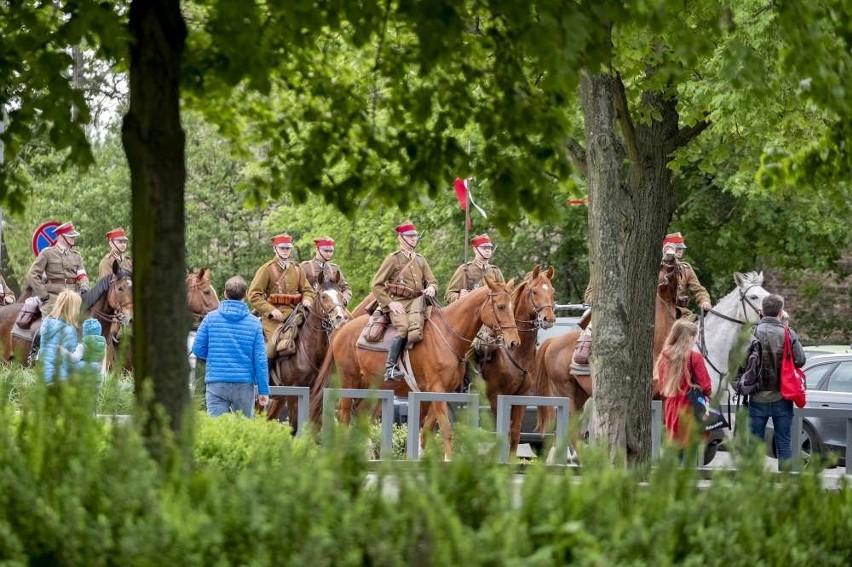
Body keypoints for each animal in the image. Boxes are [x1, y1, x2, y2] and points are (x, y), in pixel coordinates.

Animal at [264, 276, 348, 430]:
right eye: (324, 296)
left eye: (340, 295)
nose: (340, 317)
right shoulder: (294, 393)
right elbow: (294, 425)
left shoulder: (316, 395)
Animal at [310, 278, 516, 460]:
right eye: (500, 307)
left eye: (512, 306)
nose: (514, 341)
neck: (447, 336)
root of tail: (342, 329)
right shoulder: (437, 391)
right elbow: (446, 429)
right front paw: (448, 460)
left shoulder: (436, 394)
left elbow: (426, 431)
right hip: (349, 382)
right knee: (344, 415)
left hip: (372, 387)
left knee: (361, 415)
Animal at [480, 266, 560, 458]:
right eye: (534, 291)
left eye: (552, 291)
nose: (549, 319)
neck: (516, 353)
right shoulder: (496, 395)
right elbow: (501, 432)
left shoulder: (520, 396)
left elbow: (515, 433)